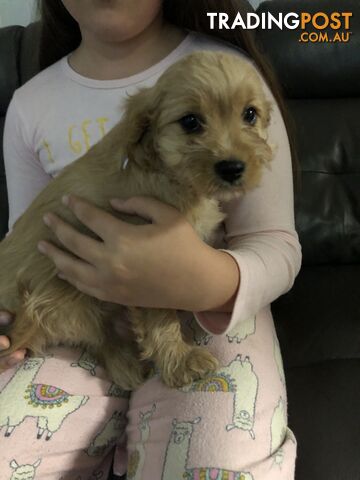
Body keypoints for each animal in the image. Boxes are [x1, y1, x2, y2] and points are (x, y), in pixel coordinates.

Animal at [0, 51, 272, 390]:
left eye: (250, 114)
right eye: (190, 122)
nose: (232, 168)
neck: (166, 173)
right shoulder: (144, 274)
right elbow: (159, 317)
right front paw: (180, 360)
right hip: (59, 297)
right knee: (96, 335)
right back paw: (125, 362)